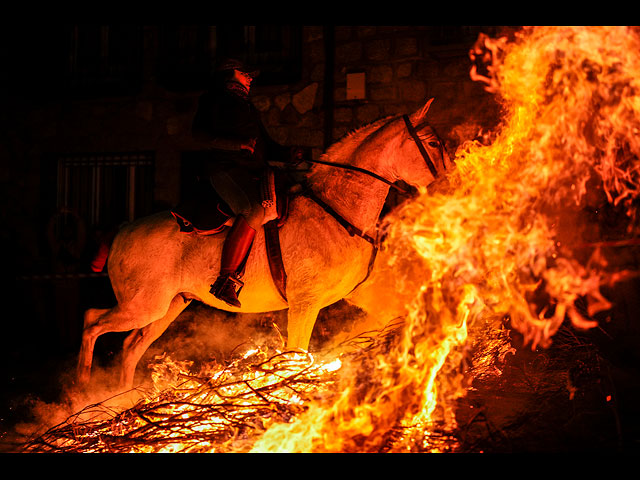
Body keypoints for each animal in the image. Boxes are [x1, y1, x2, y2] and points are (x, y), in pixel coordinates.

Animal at [77, 99, 452, 388]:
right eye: (433, 144)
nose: (449, 181)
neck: (337, 209)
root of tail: (124, 229)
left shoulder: (356, 293)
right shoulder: (304, 304)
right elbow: (297, 353)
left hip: (167, 307)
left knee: (130, 347)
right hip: (143, 306)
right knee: (92, 322)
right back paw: (81, 387)